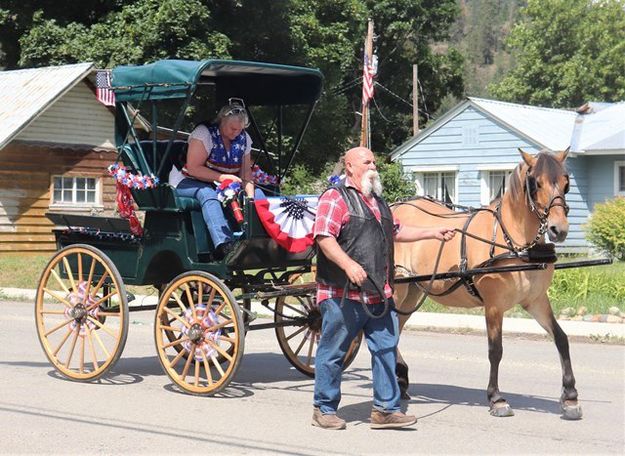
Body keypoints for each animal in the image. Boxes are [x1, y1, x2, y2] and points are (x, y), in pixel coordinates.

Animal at [392, 148, 584, 418]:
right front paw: (496, 398)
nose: (559, 229)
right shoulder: (493, 305)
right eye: (536, 183)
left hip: (411, 293)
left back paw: (400, 380)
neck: (514, 241)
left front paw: (570, 397)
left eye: (566, 183)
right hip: (395, 289)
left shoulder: (536, 300)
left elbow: (561, 339)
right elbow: (496, 350)